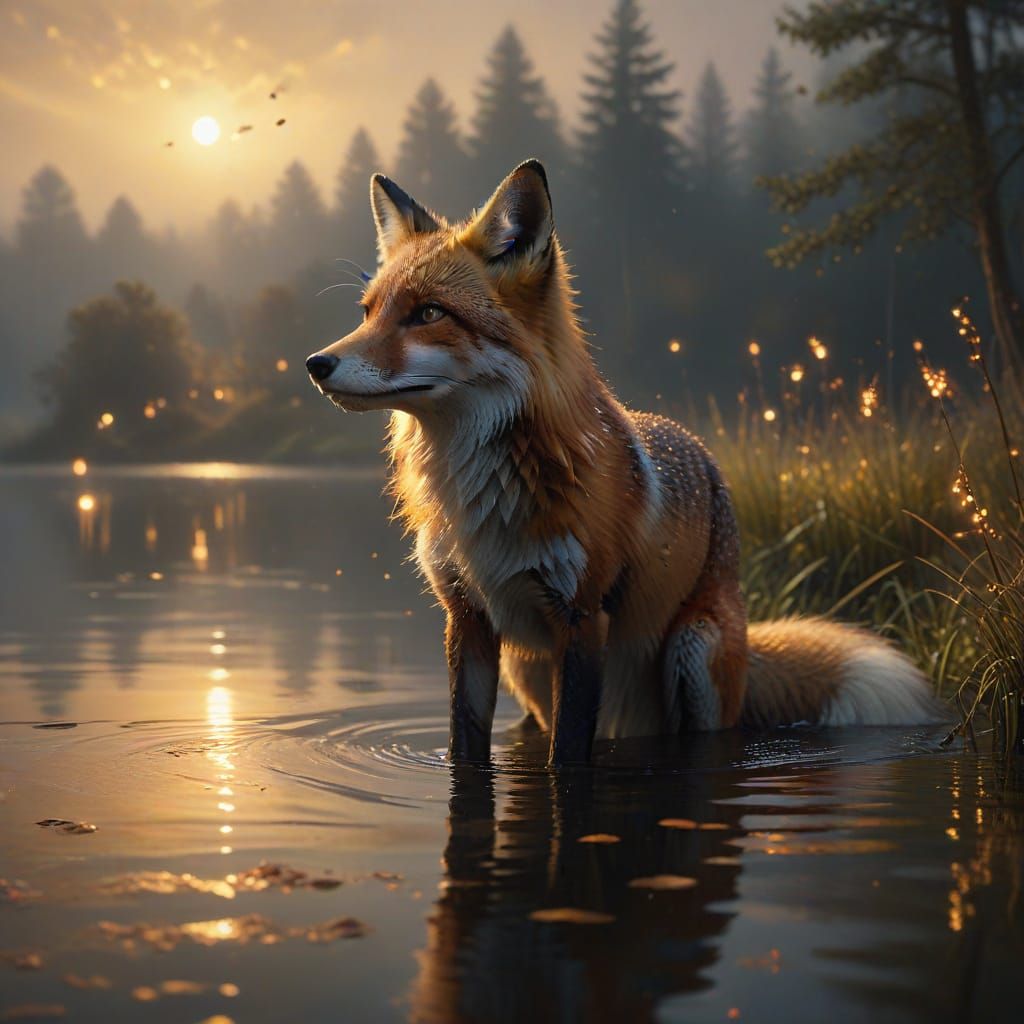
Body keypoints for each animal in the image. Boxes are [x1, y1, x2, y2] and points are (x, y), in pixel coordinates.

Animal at [305, 159, 945, 765]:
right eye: (368, 312)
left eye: (429, 313)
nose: (316, 363)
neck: (486, 495)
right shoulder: (468, 619)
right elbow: (466, 747)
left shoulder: (584, 616)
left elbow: (568, 757)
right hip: (527, 666)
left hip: (694, 650)